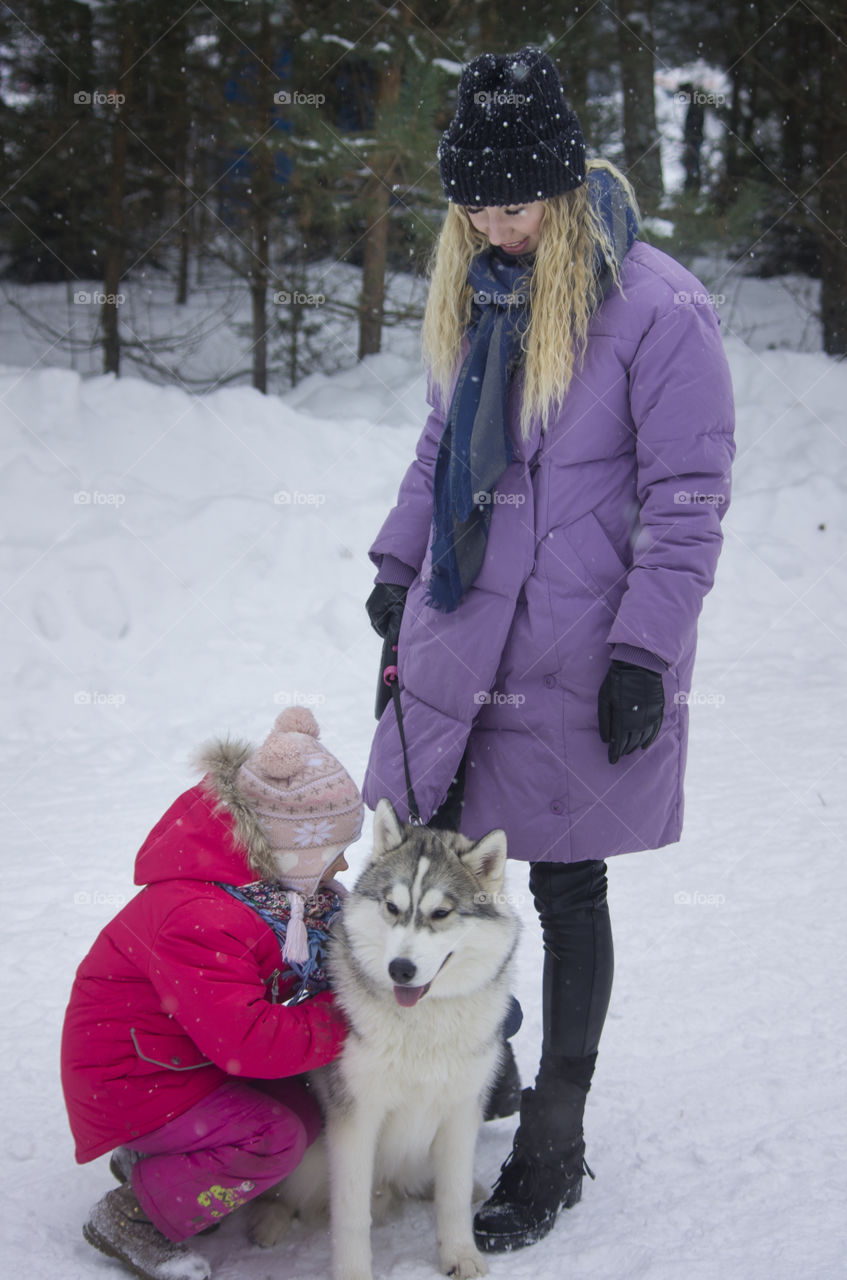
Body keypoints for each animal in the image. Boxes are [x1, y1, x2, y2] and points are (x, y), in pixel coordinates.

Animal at [249, 798, 522, 1280]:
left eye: (441, 913)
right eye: (392, 907)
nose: (400, 969)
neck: (422, 1025)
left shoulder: (461, 1109)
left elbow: (451, 1198)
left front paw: (459, 1254)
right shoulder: (356, 1118)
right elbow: (352, 1215)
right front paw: (354, 1272)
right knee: (284, 1195)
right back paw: (269, 1220)